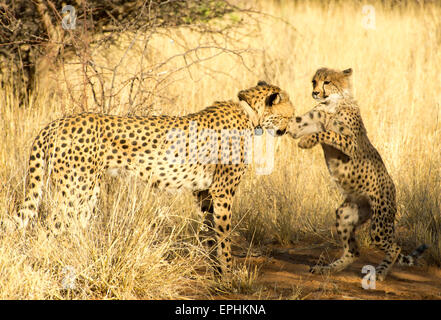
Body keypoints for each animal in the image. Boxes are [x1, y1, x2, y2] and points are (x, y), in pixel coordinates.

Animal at [17, 81, 294, 276]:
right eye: (289, 115)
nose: (288, 129)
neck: (250, 114)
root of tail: (56, 123)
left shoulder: (204, 192)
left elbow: (210, 233)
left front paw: (217, 269)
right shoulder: (223, 191)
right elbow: (224, 234)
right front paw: (229, 273)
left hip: (87, 191)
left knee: (72, 226)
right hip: (77, 189)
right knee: (47, 229)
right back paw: (48, 263)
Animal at [288, 68, 424, 280]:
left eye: (327, 82)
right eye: (314, 82)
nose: (315, 92)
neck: (332, 104)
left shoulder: (351, 144)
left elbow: (328, 133)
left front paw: (307, 141)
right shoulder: (300, 125)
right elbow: (291, 125)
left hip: (378, 226)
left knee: (395, 247)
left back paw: (379, 273)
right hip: (346, 213)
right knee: (354, 251)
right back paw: (326, 269)